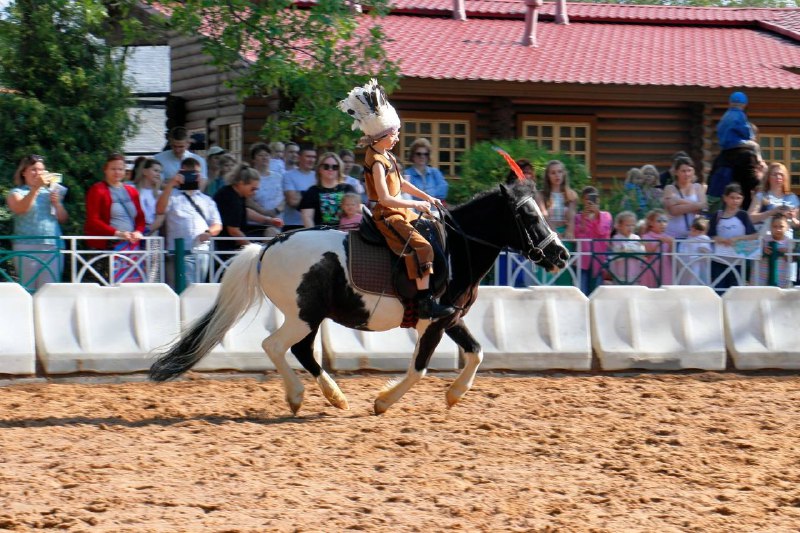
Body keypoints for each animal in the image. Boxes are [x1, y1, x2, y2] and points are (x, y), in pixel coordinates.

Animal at [152, 183, 568, 416]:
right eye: (529, 217)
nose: (561, 254)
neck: (455, 250)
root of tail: (267, 248)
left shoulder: (450, 319)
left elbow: (477, 352)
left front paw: (454, 395)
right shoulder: (432, 321)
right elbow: (419, 368)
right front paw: (383, 402)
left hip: (312, 317)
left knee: (302, 351)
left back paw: (333, 397)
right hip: (304, 315)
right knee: (276, 346)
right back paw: (301, 395)